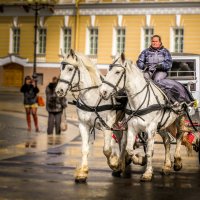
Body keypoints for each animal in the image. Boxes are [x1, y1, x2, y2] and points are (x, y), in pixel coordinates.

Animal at [54, 49, 130, 181]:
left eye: (70, 69)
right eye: (60, 69)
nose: (59, 91)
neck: (92, 97)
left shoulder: (107, 125)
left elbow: (107, 150)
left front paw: (114, 163)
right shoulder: (83, 124)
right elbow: (84, 149)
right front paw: (82, 172)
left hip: (124, 125)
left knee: (124, 143)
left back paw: (121, 163)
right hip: (117, 126)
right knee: (120, 141)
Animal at [99, 52, 191, 181]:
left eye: (117, 72)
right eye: (109, 70)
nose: (102, 92)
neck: (139, 100)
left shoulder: (150, 129)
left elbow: (149, 152)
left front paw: (147, 173)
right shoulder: (132, 128)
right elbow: (129, 148)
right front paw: (139, 160)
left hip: (180, 117)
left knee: (179, 136)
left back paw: (177, 162)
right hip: (162, 125)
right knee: (167, 140)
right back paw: (167, 166)